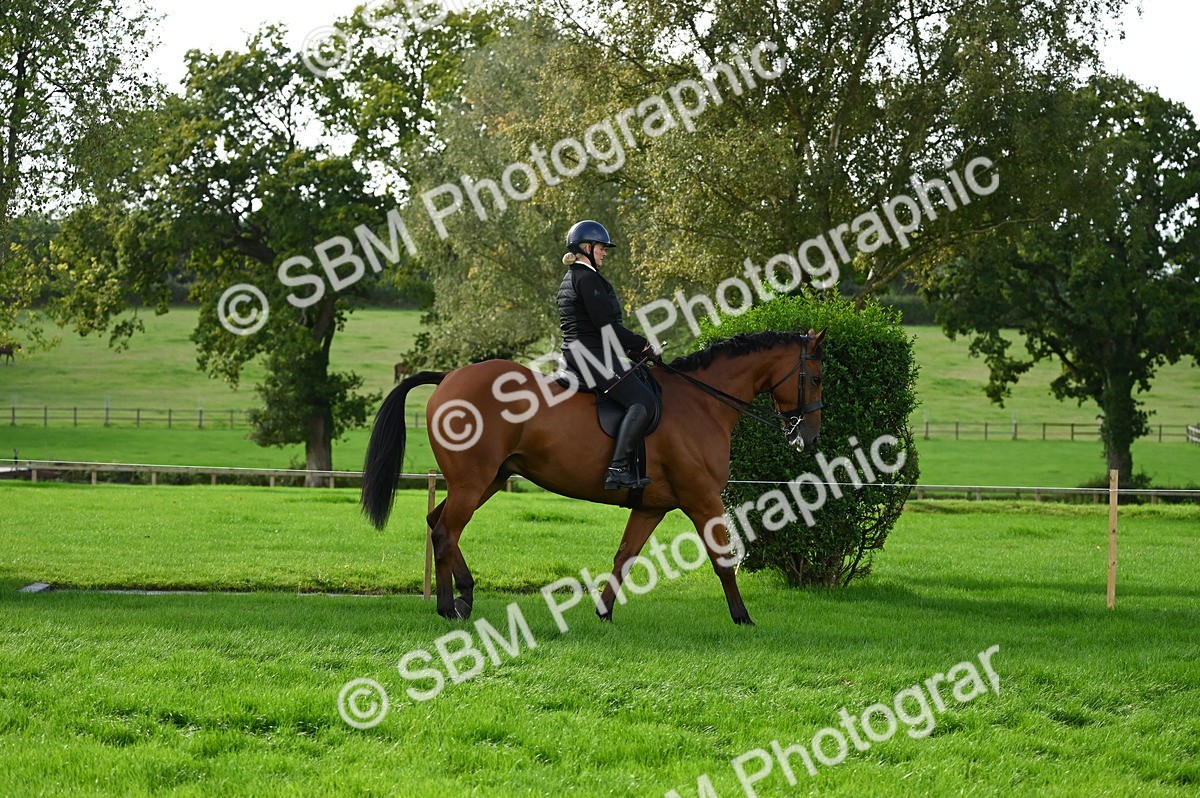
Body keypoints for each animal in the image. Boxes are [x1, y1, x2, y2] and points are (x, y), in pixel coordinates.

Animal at [361, 329, 825, 625]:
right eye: (817, 378)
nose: (808, 435)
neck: (701, 402)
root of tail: (449, 377)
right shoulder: (702, 499)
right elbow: (723, 559)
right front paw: (742, 617)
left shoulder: (652, 507)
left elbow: (624, 557)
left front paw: (604, 612)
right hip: (473, 483)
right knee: (445, 532)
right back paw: (446, 606)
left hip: (486, 481)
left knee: (437, 522)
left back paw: (465, 595)